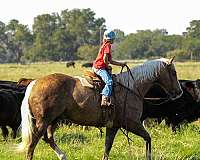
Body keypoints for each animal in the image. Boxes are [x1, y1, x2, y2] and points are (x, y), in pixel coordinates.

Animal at [16, 57, 182, 160]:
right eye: (174, 73)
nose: (179, 92)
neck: (132, 87)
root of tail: (34, 83)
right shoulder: (132, 123)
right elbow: (148, 137)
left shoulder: (113, 126)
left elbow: (107, 146)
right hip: (43, 121)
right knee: (33, 143)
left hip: (54, 120)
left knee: (48, 138)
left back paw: (63, 156)